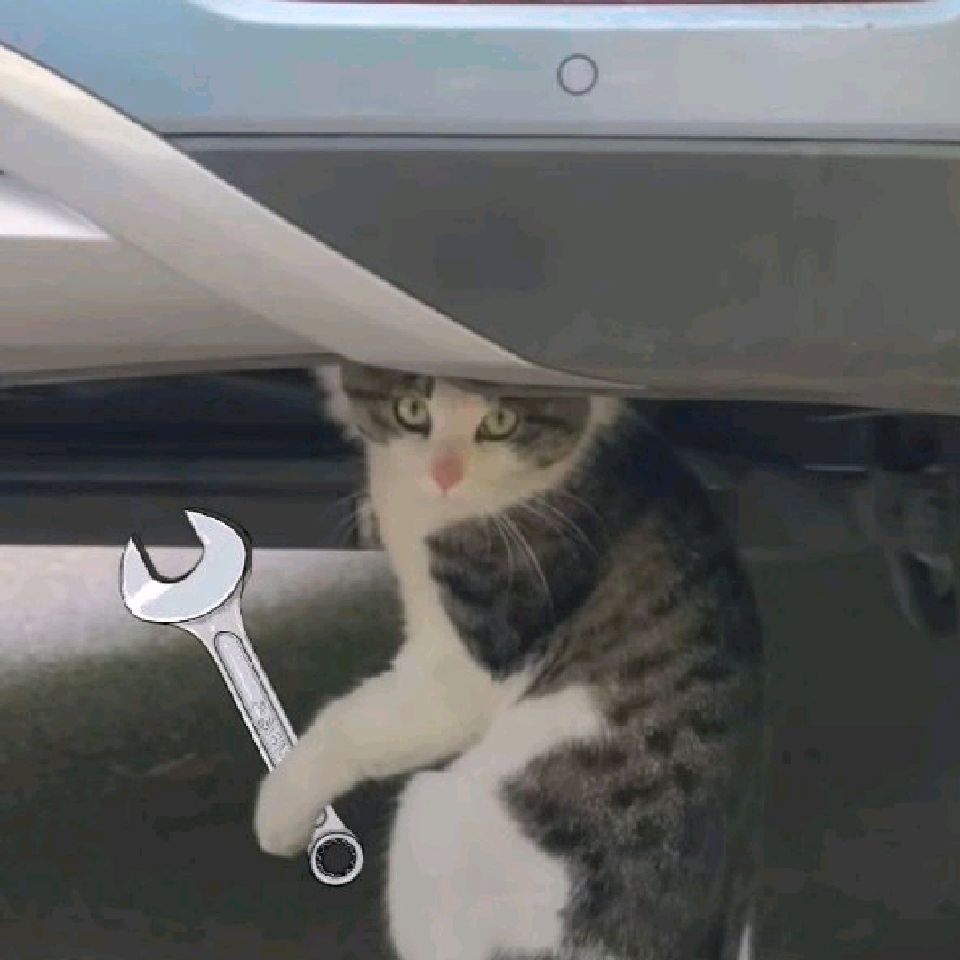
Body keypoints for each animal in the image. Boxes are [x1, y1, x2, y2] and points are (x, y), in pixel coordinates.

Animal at [254, 362, 766, 960]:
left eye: (500, 422)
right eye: (412, 411)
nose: (445, 474)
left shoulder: (472, 659)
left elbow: (353, 720)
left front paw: (282, 807)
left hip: (436, 820)